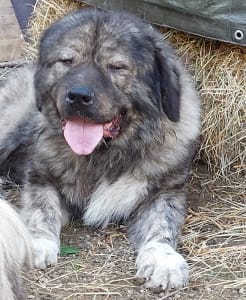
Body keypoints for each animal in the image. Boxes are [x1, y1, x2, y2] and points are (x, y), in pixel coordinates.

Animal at [0, 8, 200, 298]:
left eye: (116, 67)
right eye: (67, 61)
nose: (78, 96)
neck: (103, 155)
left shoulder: (164, 191)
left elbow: (161, 224)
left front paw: (163, 260)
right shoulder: (41, 178)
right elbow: (42, 209)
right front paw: (38, 242)